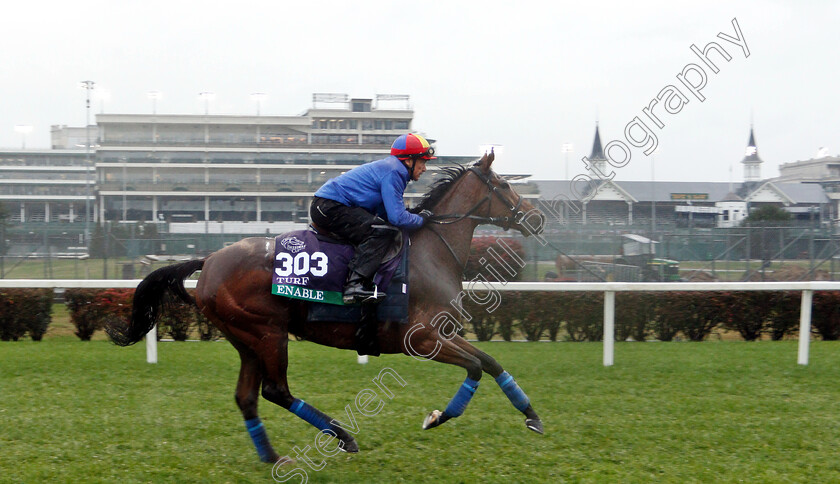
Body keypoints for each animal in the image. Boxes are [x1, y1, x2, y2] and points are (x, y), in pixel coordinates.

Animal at [108, 151, 544, 462]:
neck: (430, 252)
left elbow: (491, 363)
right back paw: (342, 437)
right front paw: (437, 418)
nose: (537, 218)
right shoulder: (421, 339)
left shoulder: (444, 333)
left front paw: (532, 416)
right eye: (505, 185)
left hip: (246, 339)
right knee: (277, 391)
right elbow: (475, 367)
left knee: (247, 397)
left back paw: (272, 457)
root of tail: (210, 259)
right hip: (268, 333)